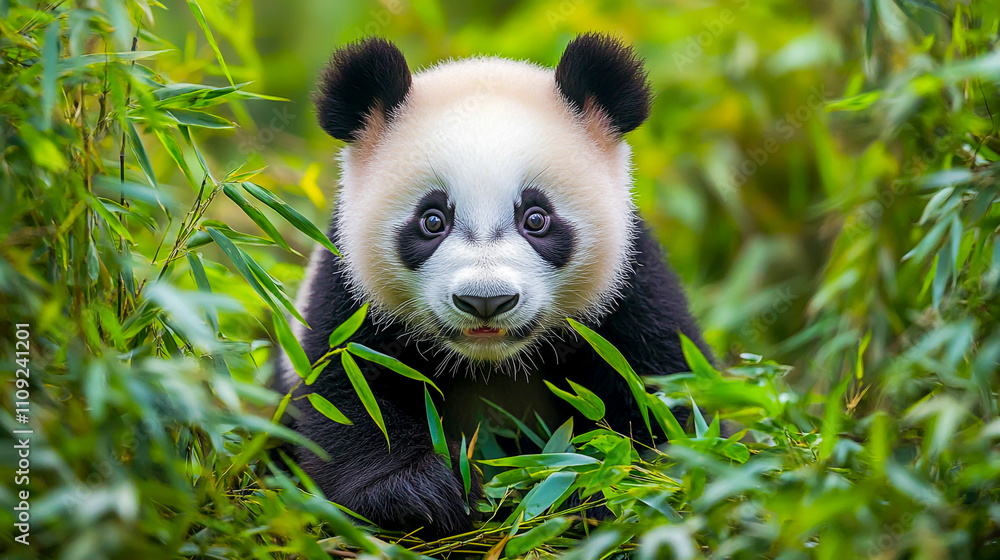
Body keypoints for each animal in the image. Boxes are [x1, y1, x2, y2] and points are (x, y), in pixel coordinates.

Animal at [277, 33, 711, 538]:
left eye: (536, 218)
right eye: (432, 220)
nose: (485, 301)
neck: (490, 363)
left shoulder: (630, 287)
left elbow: (663, 394)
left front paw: (597, 483)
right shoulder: (349, 291)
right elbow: (345, 393)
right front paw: (422, 492)